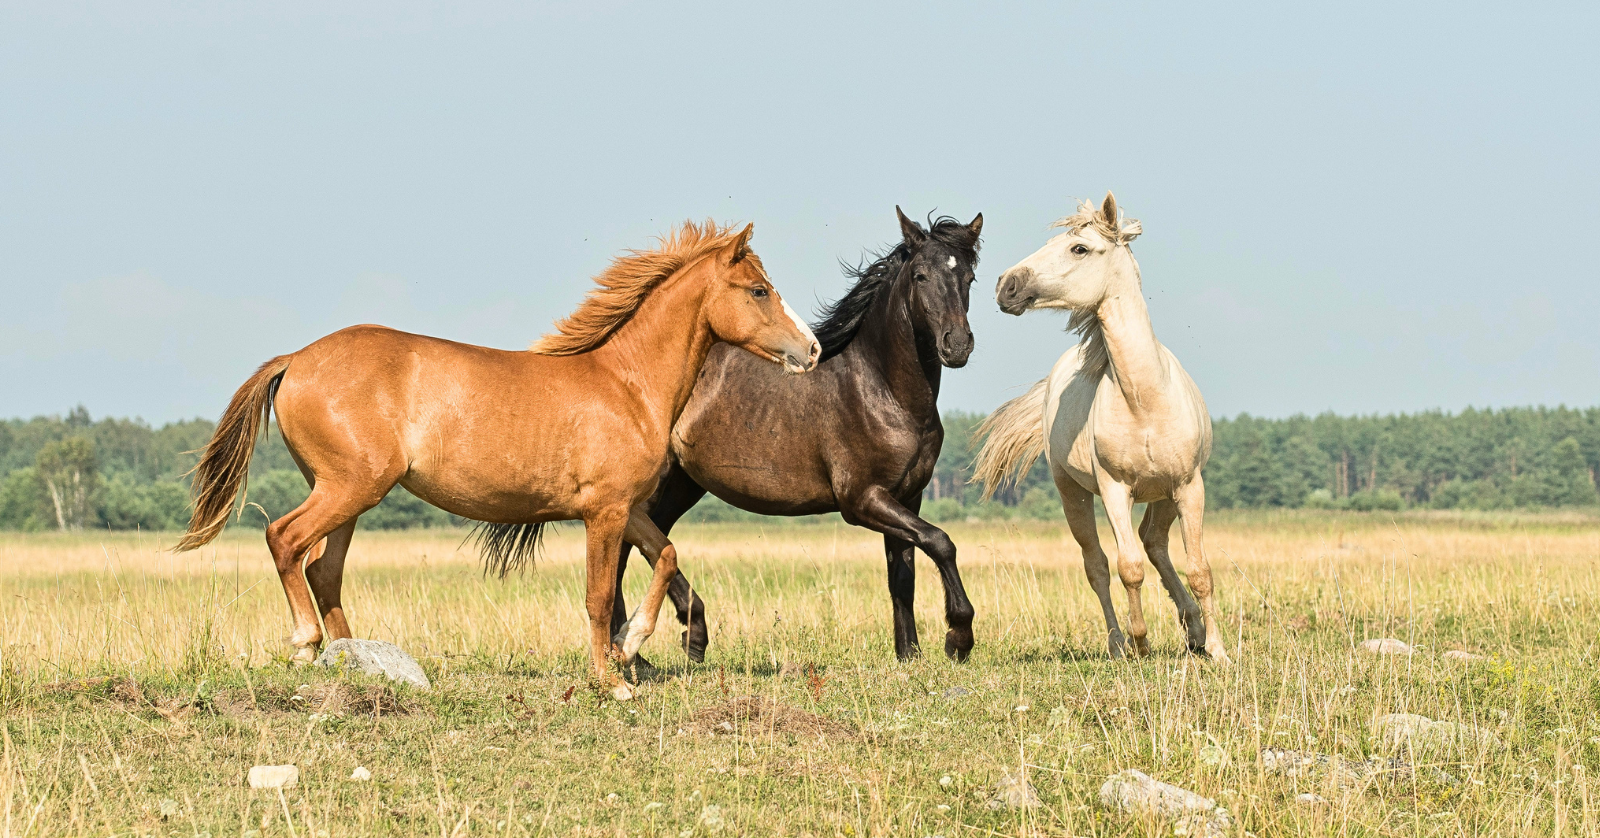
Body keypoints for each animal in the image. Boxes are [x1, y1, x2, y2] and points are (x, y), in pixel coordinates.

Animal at [176, 221, 820, 698]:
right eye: (759, 290)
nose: (811, 350)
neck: (627, 385)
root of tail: (296, 359)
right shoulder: (604, 513)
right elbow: (597, 595)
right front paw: (610, 679)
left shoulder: (628, 508)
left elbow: (665, 557)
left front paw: (631, 645)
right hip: (348, 488)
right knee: (285, 539)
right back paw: (307, 646)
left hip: (349, 495)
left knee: (322, 569)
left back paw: (354, 658)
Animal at [592, 208, 983, 663]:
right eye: (920, 276)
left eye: (969, 277)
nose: (957, 345)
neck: (882, 389)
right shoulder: (862, 499)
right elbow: (941, 541)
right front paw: (958, 636)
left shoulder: (907, 497)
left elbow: (902, 576)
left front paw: (910, 655)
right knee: (625, 551)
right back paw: (638, 649)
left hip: (681, 485)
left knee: (648, 545)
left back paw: (677, 640)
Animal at [972, 194, 1229, 664]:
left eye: (1079, 248)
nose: (1006, 285)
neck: (1145, 400)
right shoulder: (1114, 490)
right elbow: (1128, 568)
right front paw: (1141, 642)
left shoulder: (1189, 486)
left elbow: (1199, 569)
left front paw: (1218, 651)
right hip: (1072, 493)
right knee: (1099, 566)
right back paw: (1118, 644)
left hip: (1165, 494)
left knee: (1155, 543)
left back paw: (1194, 630)